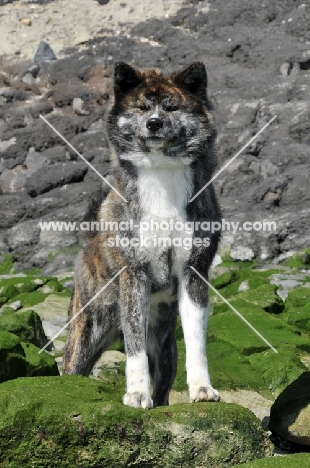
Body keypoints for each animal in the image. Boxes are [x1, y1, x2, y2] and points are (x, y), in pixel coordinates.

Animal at [63, 60, 222, 408]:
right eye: (142, 107)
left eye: (172, 107)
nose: (154, 123)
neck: (161, 176)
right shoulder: (134, 275)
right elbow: (133, 348)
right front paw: (136, 394)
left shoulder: (194, 273)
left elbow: (197, 342)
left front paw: (202, 389)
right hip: (87, 329)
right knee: (71, 369)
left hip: (164, 348)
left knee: (163, 381)